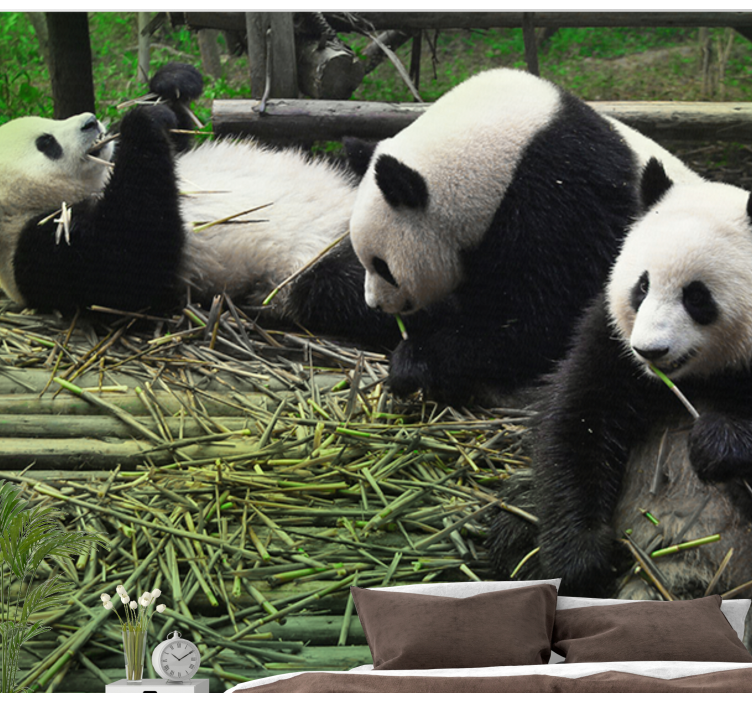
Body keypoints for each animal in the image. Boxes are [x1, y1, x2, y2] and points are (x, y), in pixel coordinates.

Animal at [0, 63, 397, 345]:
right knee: (350, 288)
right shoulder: (41, 248)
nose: (91, 121)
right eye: (46, 143)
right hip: (295, 272)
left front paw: (169, 87)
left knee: (363, 161)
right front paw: (139, 121)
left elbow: (178, 141)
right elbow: (129, 259)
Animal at [487, 159, 752, 611]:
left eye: (697, 297)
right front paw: (583, 562)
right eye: (642, 286)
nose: (651, 350)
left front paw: (716, 442)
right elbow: (579, 422)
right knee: (518, 515)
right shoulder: (611, 342)